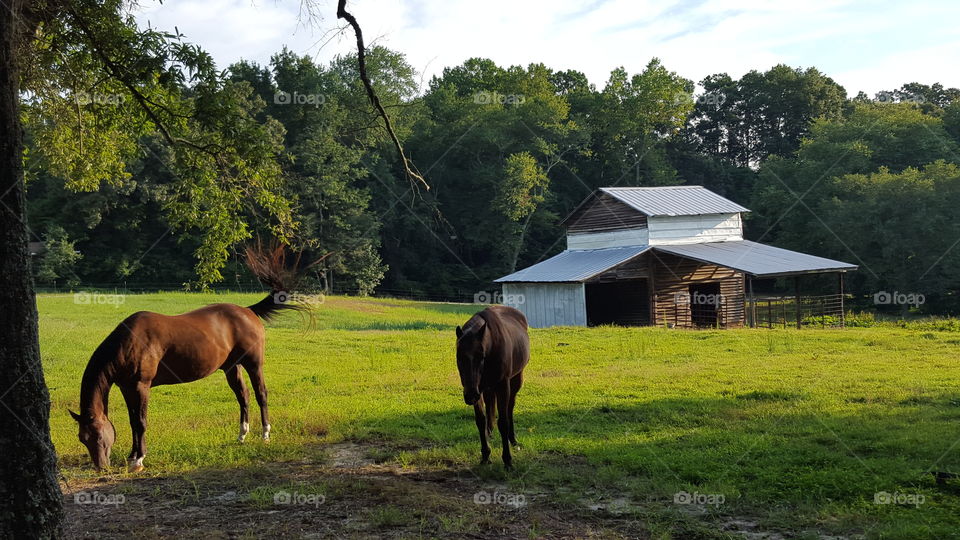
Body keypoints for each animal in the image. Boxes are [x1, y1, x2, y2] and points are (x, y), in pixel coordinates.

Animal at [71, 246, 312, 472]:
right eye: (82, 438)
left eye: (98, 436)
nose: (101, 467)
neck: (129, 343)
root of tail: (247, 310)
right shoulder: (127, 388)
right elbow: (132, 421)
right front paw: (132, 457)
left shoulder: (141, 386)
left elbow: (140, 422)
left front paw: (138, 460)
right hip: (231, 367)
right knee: (243, 396)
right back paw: (242, 435)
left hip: (253, 364)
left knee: (261, 394)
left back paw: (265, 435)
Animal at [458, 306, 532, 470]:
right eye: (459, 357)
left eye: (481, 356)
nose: (470, 395)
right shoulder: (477, 389)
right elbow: (480, 420)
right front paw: (485, 455)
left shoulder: (502, 386)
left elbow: (503, 422)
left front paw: (507, 460)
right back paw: (490, 432)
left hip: (515, 381)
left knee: (510, 408)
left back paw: (513, 439)